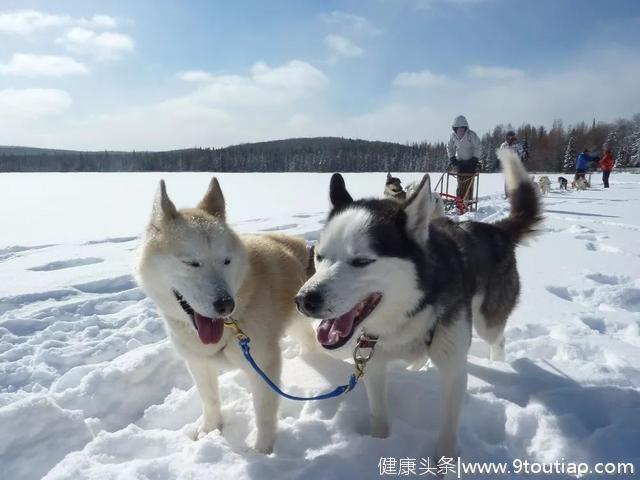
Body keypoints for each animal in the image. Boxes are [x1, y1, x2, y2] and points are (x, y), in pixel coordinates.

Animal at [136, 177, 316, 454]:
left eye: (226, 261)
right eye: (191, 263)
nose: (225, 305)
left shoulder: (263, 367)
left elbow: (264, 415)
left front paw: (262, 452)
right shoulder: (198, 363)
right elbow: (209, 400)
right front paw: (210, 430)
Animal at [296, 152, 540, 460]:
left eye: (361, 261)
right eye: (319, 256)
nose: (304, 300)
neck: (405, 315)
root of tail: (495, 230)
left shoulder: (452, 368)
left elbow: (448, 431)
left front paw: (444, 464)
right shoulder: (372, 362)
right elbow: (379, 415)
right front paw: (379, 444)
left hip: (488, 322)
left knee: (498, 339)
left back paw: (499, 364)